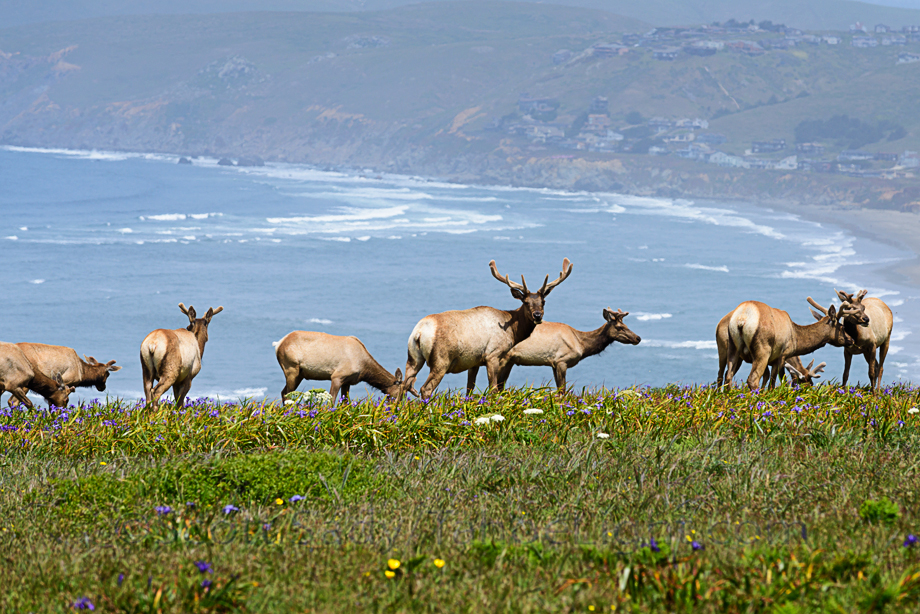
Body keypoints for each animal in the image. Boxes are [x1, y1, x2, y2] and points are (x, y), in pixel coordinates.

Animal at [273, 331, 403, 402]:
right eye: (400, 394)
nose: (398, 410)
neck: (364, 369)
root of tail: (278, 344)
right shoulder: (337, 376)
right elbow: (332, 401)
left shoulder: (348, 381)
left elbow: (345, 403)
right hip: (291, 368)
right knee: (287, 394)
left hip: (299, 374)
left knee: (283, 392)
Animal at [402, 258, 573, 399]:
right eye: (526, 302)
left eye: (543, 301)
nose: (537, 315)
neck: (512, 332)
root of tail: (419, 332)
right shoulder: (493, 354)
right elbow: (494, 389)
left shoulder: (474, 361)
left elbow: (469, 389)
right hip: (441, 360)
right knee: (425, 388)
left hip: (413, 357)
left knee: (403, 386)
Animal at [499, 308, 641, 391]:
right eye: (619, 328)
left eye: (626, 325)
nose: (638, 338)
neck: (581, 345)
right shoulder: (561, 360)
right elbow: (562, 391)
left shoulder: (553, 363)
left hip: (510, 361)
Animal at [723, 297, 854, 391]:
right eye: (842, 327)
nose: (851, 340)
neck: (795, 340)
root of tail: (741, 318)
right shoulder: (781, 355)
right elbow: (776, 382)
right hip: (762, 350)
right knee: (752, 379)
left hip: (733, 346)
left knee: (728, 376)